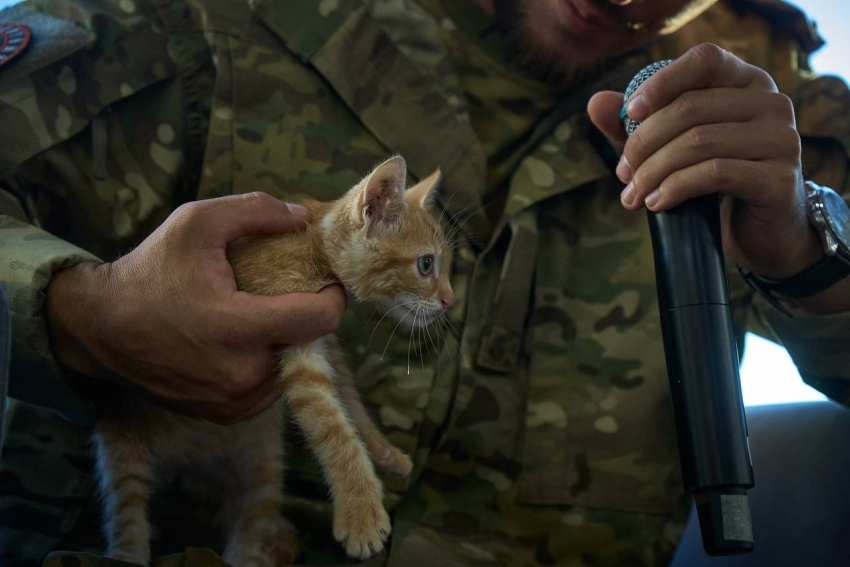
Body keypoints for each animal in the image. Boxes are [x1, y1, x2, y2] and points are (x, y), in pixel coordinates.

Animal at [93, 156, 454, 567]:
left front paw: (385, 452)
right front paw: (361, 514)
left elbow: (351, 401)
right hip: (121, 440)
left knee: (252, 521)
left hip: (263, 462)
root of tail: (188, 464)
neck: (314, 246)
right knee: (127, 513)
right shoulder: (298, 339)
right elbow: (333, 429)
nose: (450, 301)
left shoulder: (325, 339)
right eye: (426, 265)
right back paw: (128, 551)